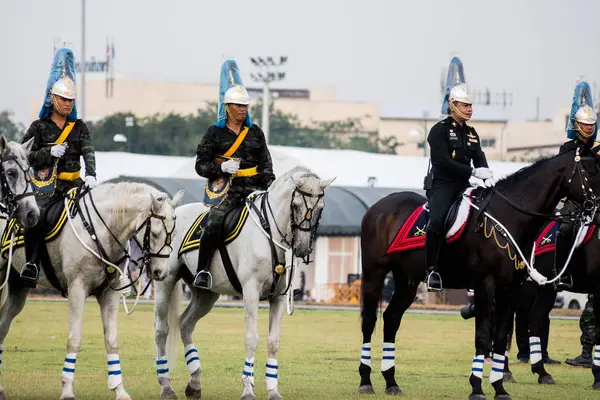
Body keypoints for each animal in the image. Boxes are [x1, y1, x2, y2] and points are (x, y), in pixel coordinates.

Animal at [0, 182, 184, 400]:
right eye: (155, 233)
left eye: (174, 233)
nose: (161, 272)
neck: (100, 230)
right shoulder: (77, 289)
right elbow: (74, 340)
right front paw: (67, 390)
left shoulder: (110, 293)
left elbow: (112, 340)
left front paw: (119, 389)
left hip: (18, 287)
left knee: (3, 325)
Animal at [154, 167, 332, 400]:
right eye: (295, 205)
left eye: (320, 208)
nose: (302, 248)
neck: (271, 233)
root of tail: (175, 213)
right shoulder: (251, 292)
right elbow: (251, 338)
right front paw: (248, 389)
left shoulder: (279, 297)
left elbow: (273, 341)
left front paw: (273, 390)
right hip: (164, 281)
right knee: (162, 330)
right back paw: (166, 386)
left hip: (206, 294)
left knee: (185, 324)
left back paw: (195, 381)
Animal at [356, 148, 600, 398]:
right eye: (591, 172)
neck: (508, 218)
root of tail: (377, 208)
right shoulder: (485, 285)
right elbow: (483, 337)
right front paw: (476, 387)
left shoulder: (509, 289)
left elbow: (500, 336)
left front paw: (499, 387)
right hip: (374, 273)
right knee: (369, 321)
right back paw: (366, 380)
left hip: (408, 281)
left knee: (391, 318)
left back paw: (391, 381)